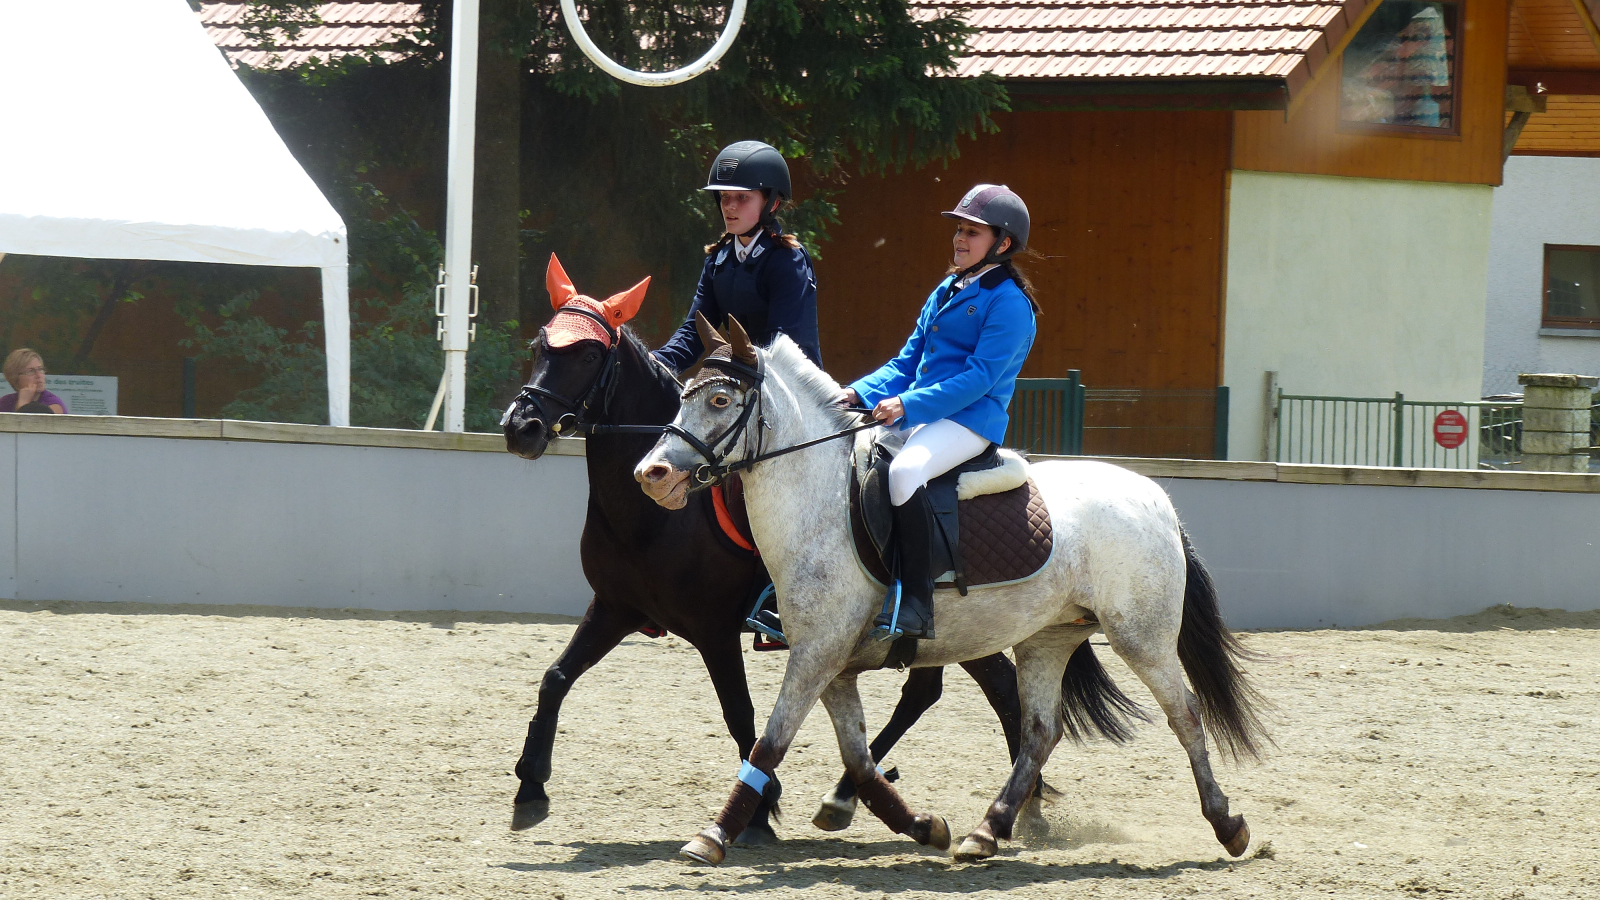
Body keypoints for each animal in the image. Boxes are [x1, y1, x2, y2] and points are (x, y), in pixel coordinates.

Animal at [496, 256, 1036, 839]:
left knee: (996, 690)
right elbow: (555, 677)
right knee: (936, 692)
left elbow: (741, 714)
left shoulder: (712, 628)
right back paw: (859, 797)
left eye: (590, 354)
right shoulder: (616, 606)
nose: (522, 427)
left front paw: (759, 808)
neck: (653, 519)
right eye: (540, 346)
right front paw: (530, 785)